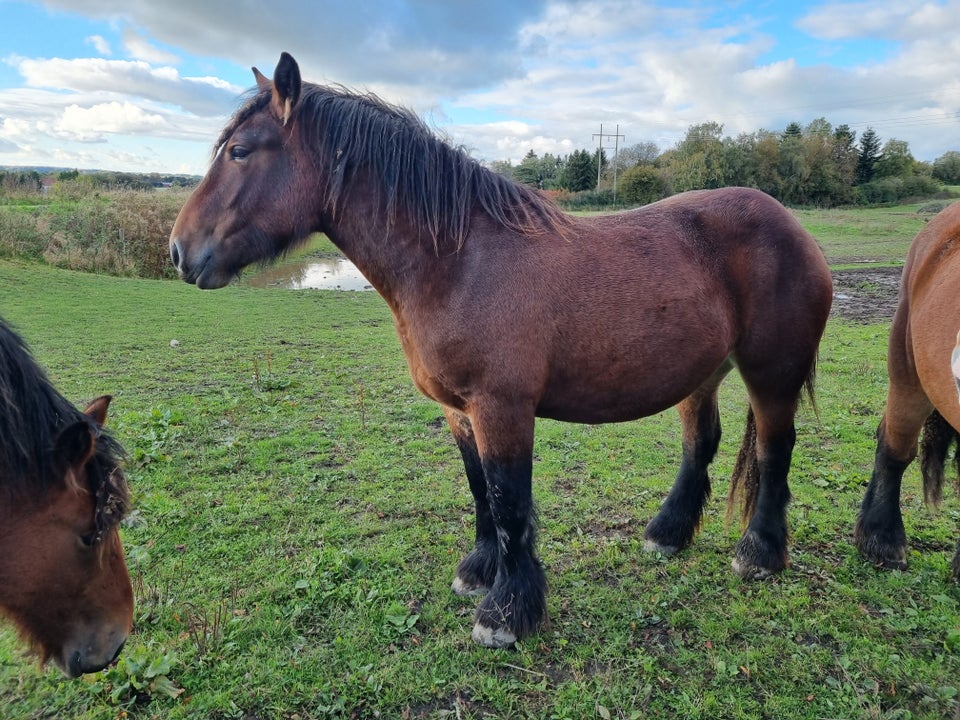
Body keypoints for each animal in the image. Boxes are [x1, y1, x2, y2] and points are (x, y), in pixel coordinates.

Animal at [171, 52, 832, 648]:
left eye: (239, 151)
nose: (178, 251)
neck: (460, 262)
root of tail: (791, 224)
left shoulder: (502, 408)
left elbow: (509, 502)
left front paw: (506, 613)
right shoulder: (459, 411)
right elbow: (480, 492)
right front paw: (479, 573)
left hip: (771, 374)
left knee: (775, 450)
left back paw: (759, 554)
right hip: (703, 373)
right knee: (702, 443)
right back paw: (667, 534)